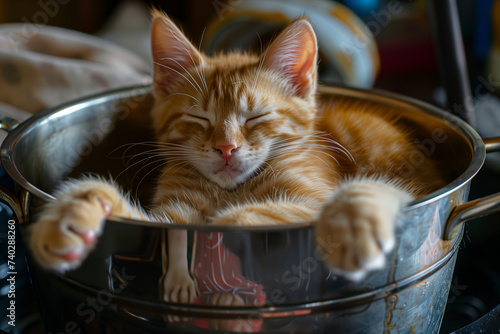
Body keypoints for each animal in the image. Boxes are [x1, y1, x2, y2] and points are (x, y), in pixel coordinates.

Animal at [29, 9, 442, 292]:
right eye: (198, 117)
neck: (229, 191)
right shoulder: (168, 217)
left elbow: (238, 219)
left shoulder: (307, 202)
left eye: (256, 116)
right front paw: (74, 212)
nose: (225, 148)